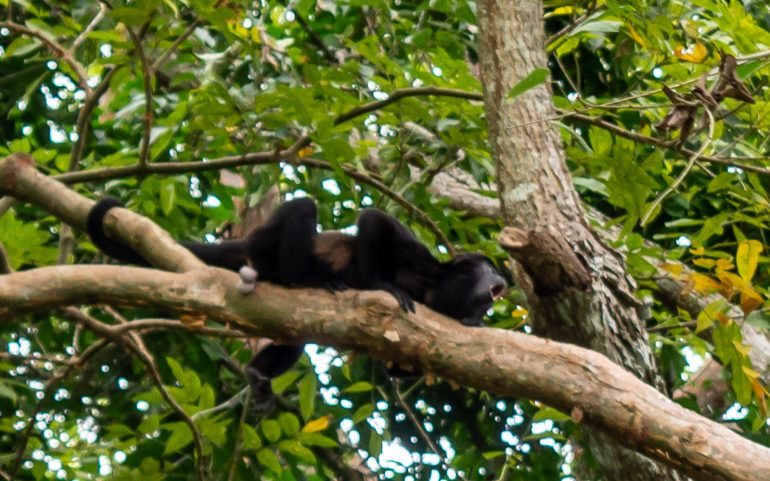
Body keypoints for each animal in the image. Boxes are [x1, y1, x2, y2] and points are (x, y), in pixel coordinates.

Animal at [87, 197, 507, 411]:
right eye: (487, 268)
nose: (500, 279)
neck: (437, 288)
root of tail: (248, 242)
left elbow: (397, 366)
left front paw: (474, 325)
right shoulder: (421, 258)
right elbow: (374, 221)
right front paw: (383, 286)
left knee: (294, 339)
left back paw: (256, 375)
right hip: (267, 245)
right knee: (304, 207)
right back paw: (306, 277)